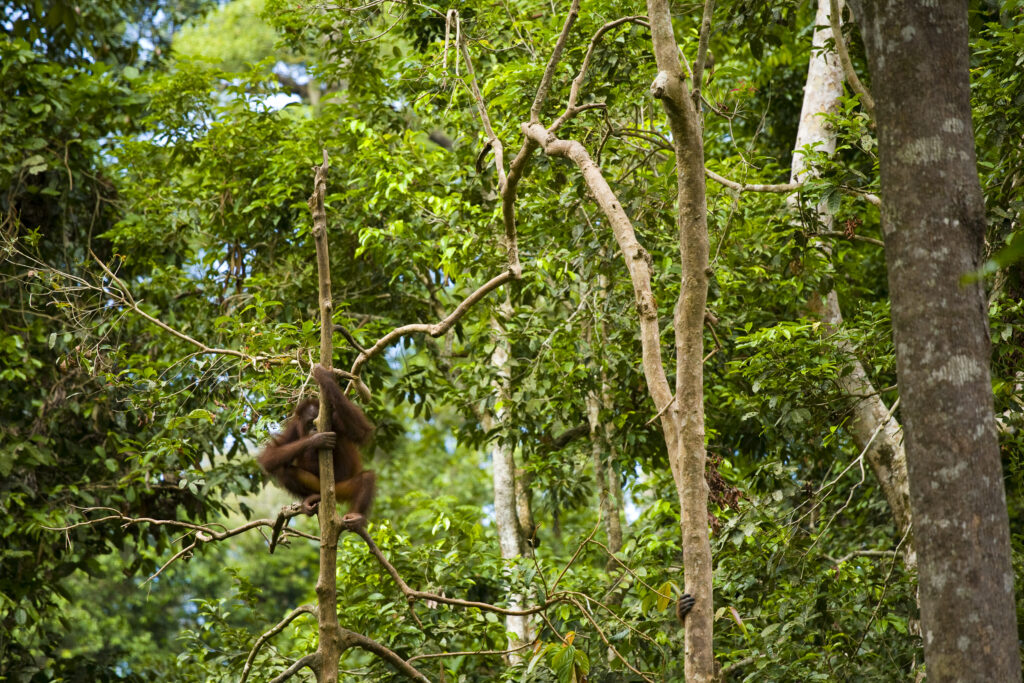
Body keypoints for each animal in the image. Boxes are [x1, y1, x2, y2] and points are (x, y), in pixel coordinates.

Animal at [257, 366, 376, 519]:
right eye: (309, 423)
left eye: (315, 421)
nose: (314, 429)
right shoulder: (294, 429)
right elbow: (269, 456)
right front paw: (317, 440)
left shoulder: (336, 418)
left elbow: (361, 431)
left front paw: (325, 377)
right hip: (317, 485)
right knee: (282, 470)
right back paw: (310, 499)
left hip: (343, 487)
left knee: (366, 479)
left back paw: (355, 518)